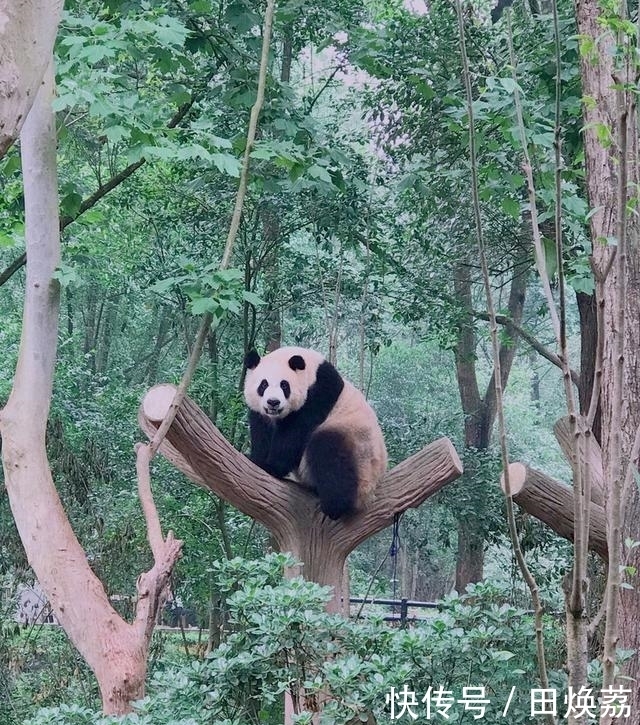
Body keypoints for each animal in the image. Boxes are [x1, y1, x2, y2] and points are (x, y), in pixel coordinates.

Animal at [242, 348, 388, 516]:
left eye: (284, 385)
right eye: (263, 384)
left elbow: (294, 434)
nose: (273, 402)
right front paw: (256, 459)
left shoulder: (318, 395)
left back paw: (335, 505)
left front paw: (271, 466)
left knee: (327, 449)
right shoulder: (262, 414)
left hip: (359, 449)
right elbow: (261, 431)